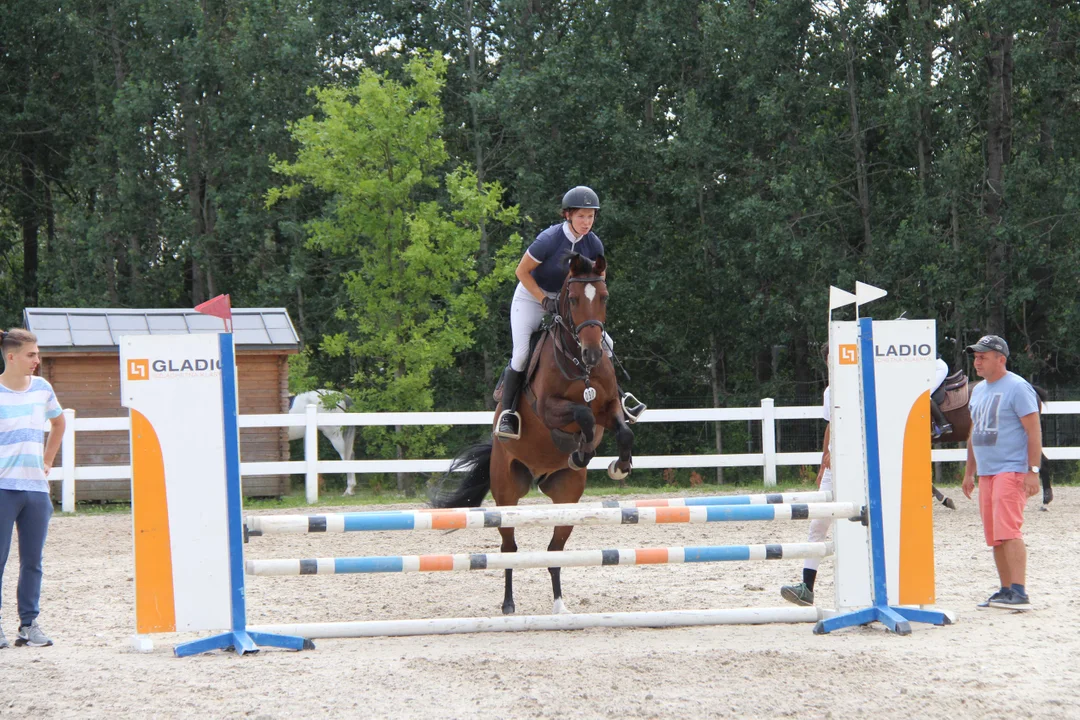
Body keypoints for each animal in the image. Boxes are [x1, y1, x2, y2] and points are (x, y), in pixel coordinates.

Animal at [427, 253, 630, 613]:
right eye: (573, 300)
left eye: (604, 298)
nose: (593, 353)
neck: (578, 365)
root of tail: (538, 476)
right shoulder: (548, 409)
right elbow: (581, 414)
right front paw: (581, 451)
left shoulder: (609, 407)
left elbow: (623, 432)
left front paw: (618, 466)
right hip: (507, 490)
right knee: (509, 550)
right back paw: (509, 605)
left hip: (566, 495)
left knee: (554, 551)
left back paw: (560, 605)